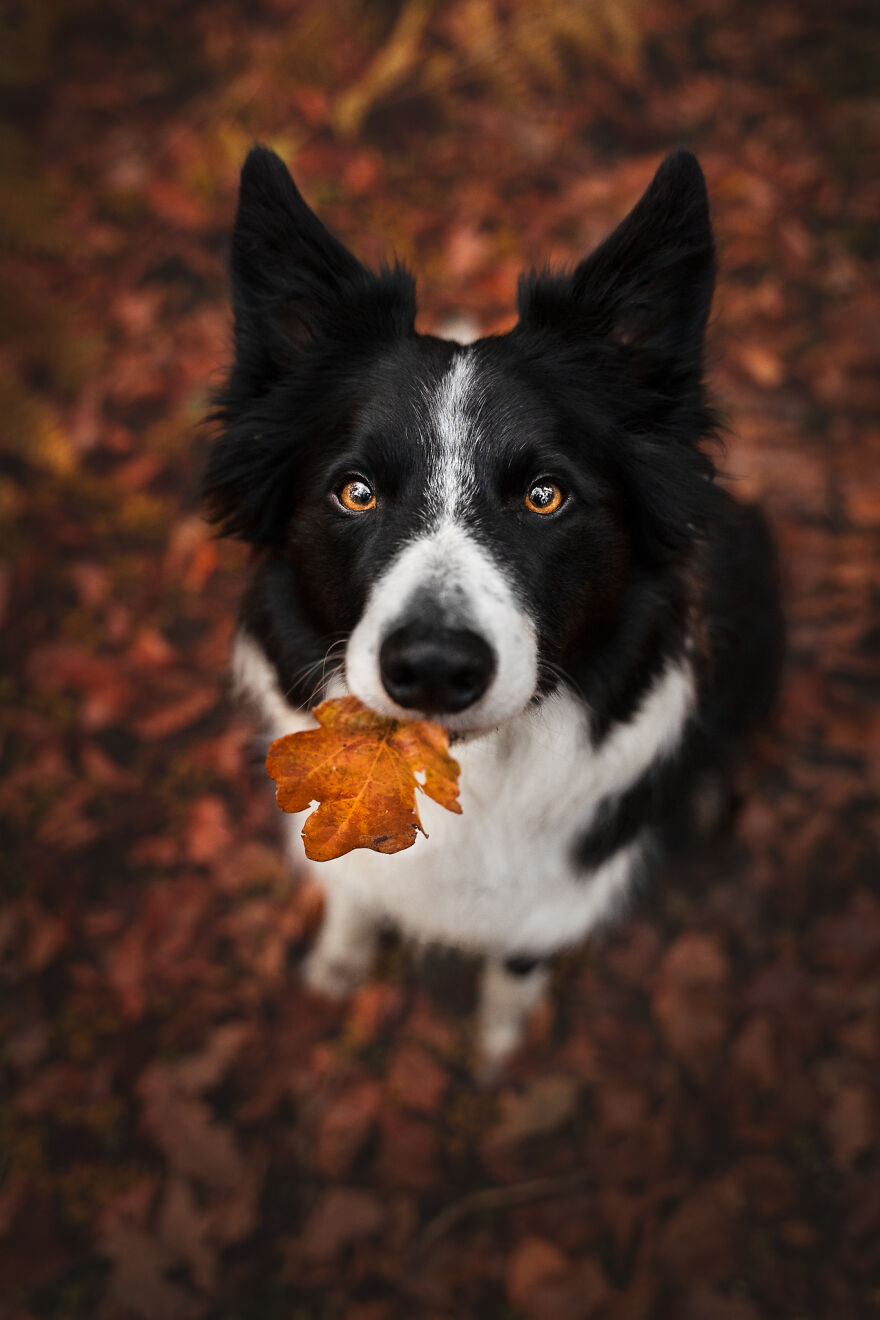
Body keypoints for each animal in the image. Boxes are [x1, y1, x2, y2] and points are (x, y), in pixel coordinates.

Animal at [208, 149, 786, 1066]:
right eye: (355, 492)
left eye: (545, 496)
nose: (435, 668)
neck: (466, 780)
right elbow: (354, 903)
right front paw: (336, 969)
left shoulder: (552, 905)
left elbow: (514, 972)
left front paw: (496, 1048)